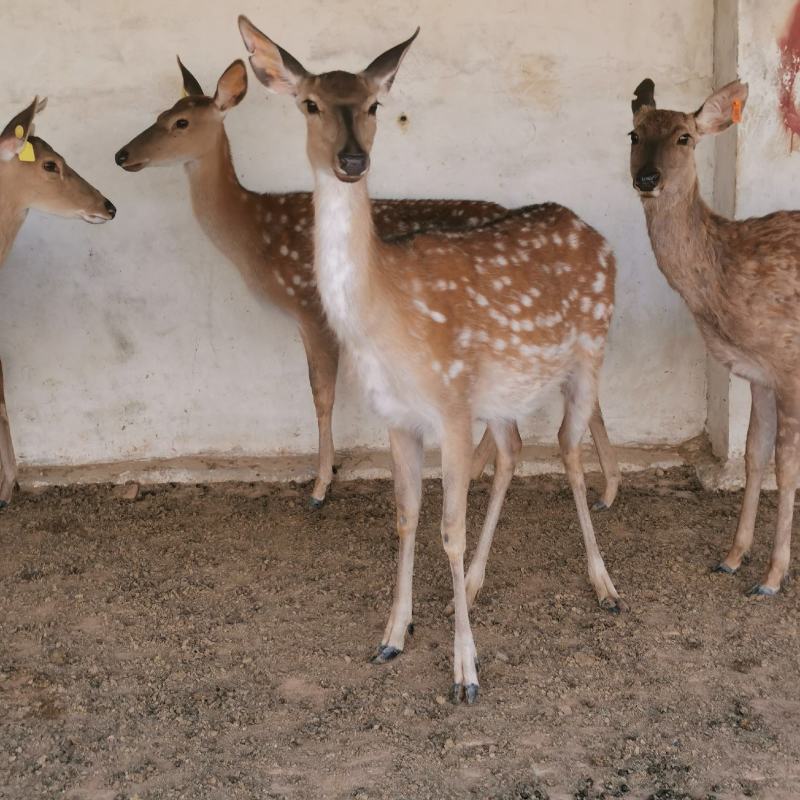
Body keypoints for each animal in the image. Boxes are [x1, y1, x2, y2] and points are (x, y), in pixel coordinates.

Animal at [115, 57, 512, 508]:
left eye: (180, 122)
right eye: (159, 114)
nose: (122, 154)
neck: (254, 235)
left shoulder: (310, 306)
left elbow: (322, 395)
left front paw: (320, 486)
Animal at [239, 17, 622, 703]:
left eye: (373, 105)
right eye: (310, 104)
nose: (352, 160)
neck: (384, 318)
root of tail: (594, 233)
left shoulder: (450, 406)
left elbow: (449, 529)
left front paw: (466, 672)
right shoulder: (399, 415)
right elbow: (406, 517)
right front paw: (394, 633)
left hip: (589, 352)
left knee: (571, 455)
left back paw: (605, 586)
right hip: (503, 390)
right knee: (516, 451)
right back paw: (472, 583)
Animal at [630, 78, 800, 598]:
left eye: (684, 137)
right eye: (634, 134)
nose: (647, 178)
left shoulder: (789, 364)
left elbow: (786, 466)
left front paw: (773, 577)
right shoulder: (757, 373)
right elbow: (754, 455)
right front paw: (732, 558)